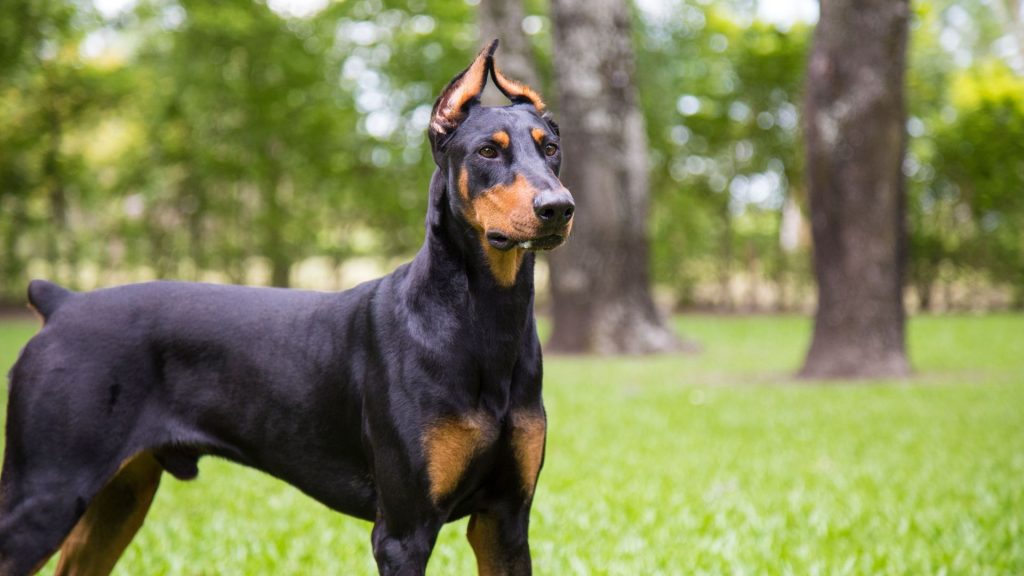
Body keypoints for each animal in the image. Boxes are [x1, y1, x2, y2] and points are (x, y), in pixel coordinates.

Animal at [0, 41, 577, 573]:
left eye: (550, 148)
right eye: (487, 152)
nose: (558, 207)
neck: (483, 319)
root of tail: (63, 303)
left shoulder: (505, 520)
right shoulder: (404, 530)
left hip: (120, 494)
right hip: (47, 490)